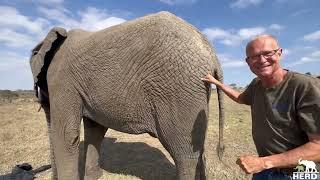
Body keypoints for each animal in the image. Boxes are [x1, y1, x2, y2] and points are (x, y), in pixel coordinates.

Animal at [30, 11, 225, 180]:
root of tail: (210, 49)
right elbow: (95, 130)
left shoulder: (63, 80)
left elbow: (66, 135)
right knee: (198, 150)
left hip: (179, 89)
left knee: (184, 154)